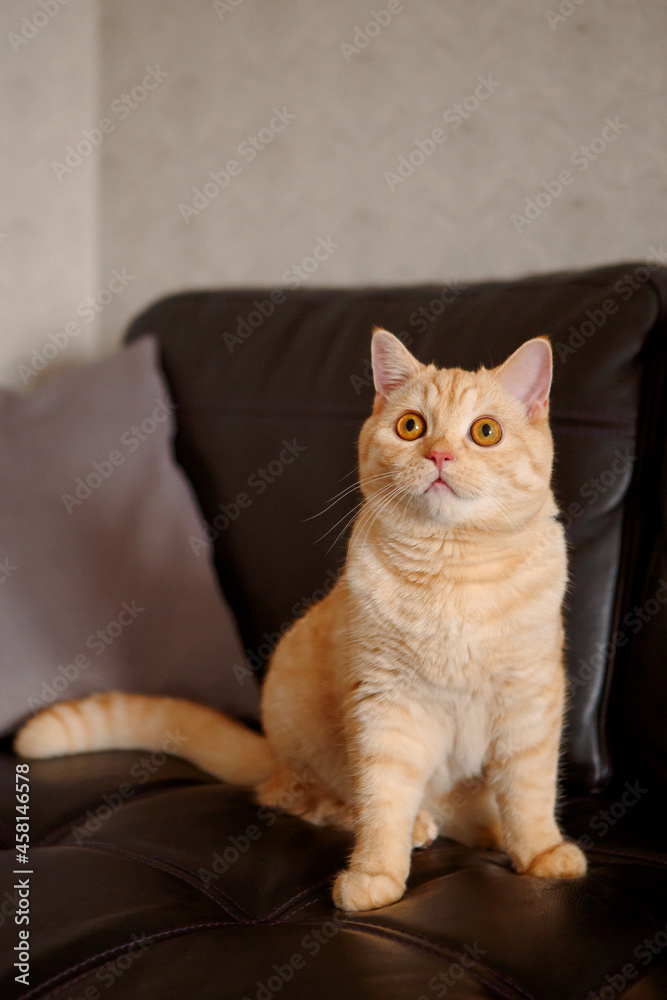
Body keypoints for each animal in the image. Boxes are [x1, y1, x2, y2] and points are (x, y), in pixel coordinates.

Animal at [15, 330, 588, 916]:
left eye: (485, 432)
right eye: (411, 427)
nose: (440, 454)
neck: (453, 573)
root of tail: (272, 753)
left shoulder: (530, 703)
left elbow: (530, 792)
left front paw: (541, 853)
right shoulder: (387, 707)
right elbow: (383, 801)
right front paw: (376, 875)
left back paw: (488, 828)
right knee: (314, 801)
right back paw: (415, 825)